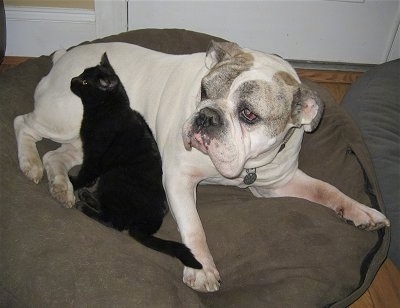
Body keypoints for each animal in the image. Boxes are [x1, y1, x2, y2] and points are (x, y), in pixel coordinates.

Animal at [69, 53, 203, 270]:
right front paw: (85, 183)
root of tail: (145, 225)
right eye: (81, 75)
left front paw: (73, 181)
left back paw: (84, 202)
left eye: (84, 82)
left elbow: (86, 171)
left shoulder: (93, 153)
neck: (108, 109)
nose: (72, 79)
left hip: (114, 176)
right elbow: (89, 174)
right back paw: (88, 195)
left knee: (113, 221)